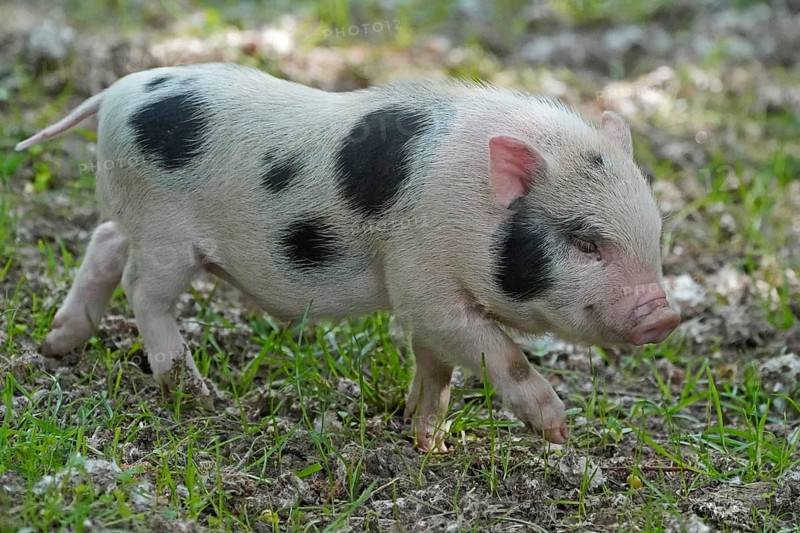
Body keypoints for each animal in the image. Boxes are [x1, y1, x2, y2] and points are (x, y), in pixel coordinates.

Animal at [15, 63, 680, 452]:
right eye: (587, 241)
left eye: (655, 234)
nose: (665, 315)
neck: (474, 205)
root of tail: (114, 93)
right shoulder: (421, 280)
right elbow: (499, 354)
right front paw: (558, 429)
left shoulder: (428, 296)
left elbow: (436, 367)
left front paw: (425, 439)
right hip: (165, 235)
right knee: (142, 288)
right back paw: (198, 398)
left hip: (139, 218)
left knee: (104, 242)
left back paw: (58, 346)